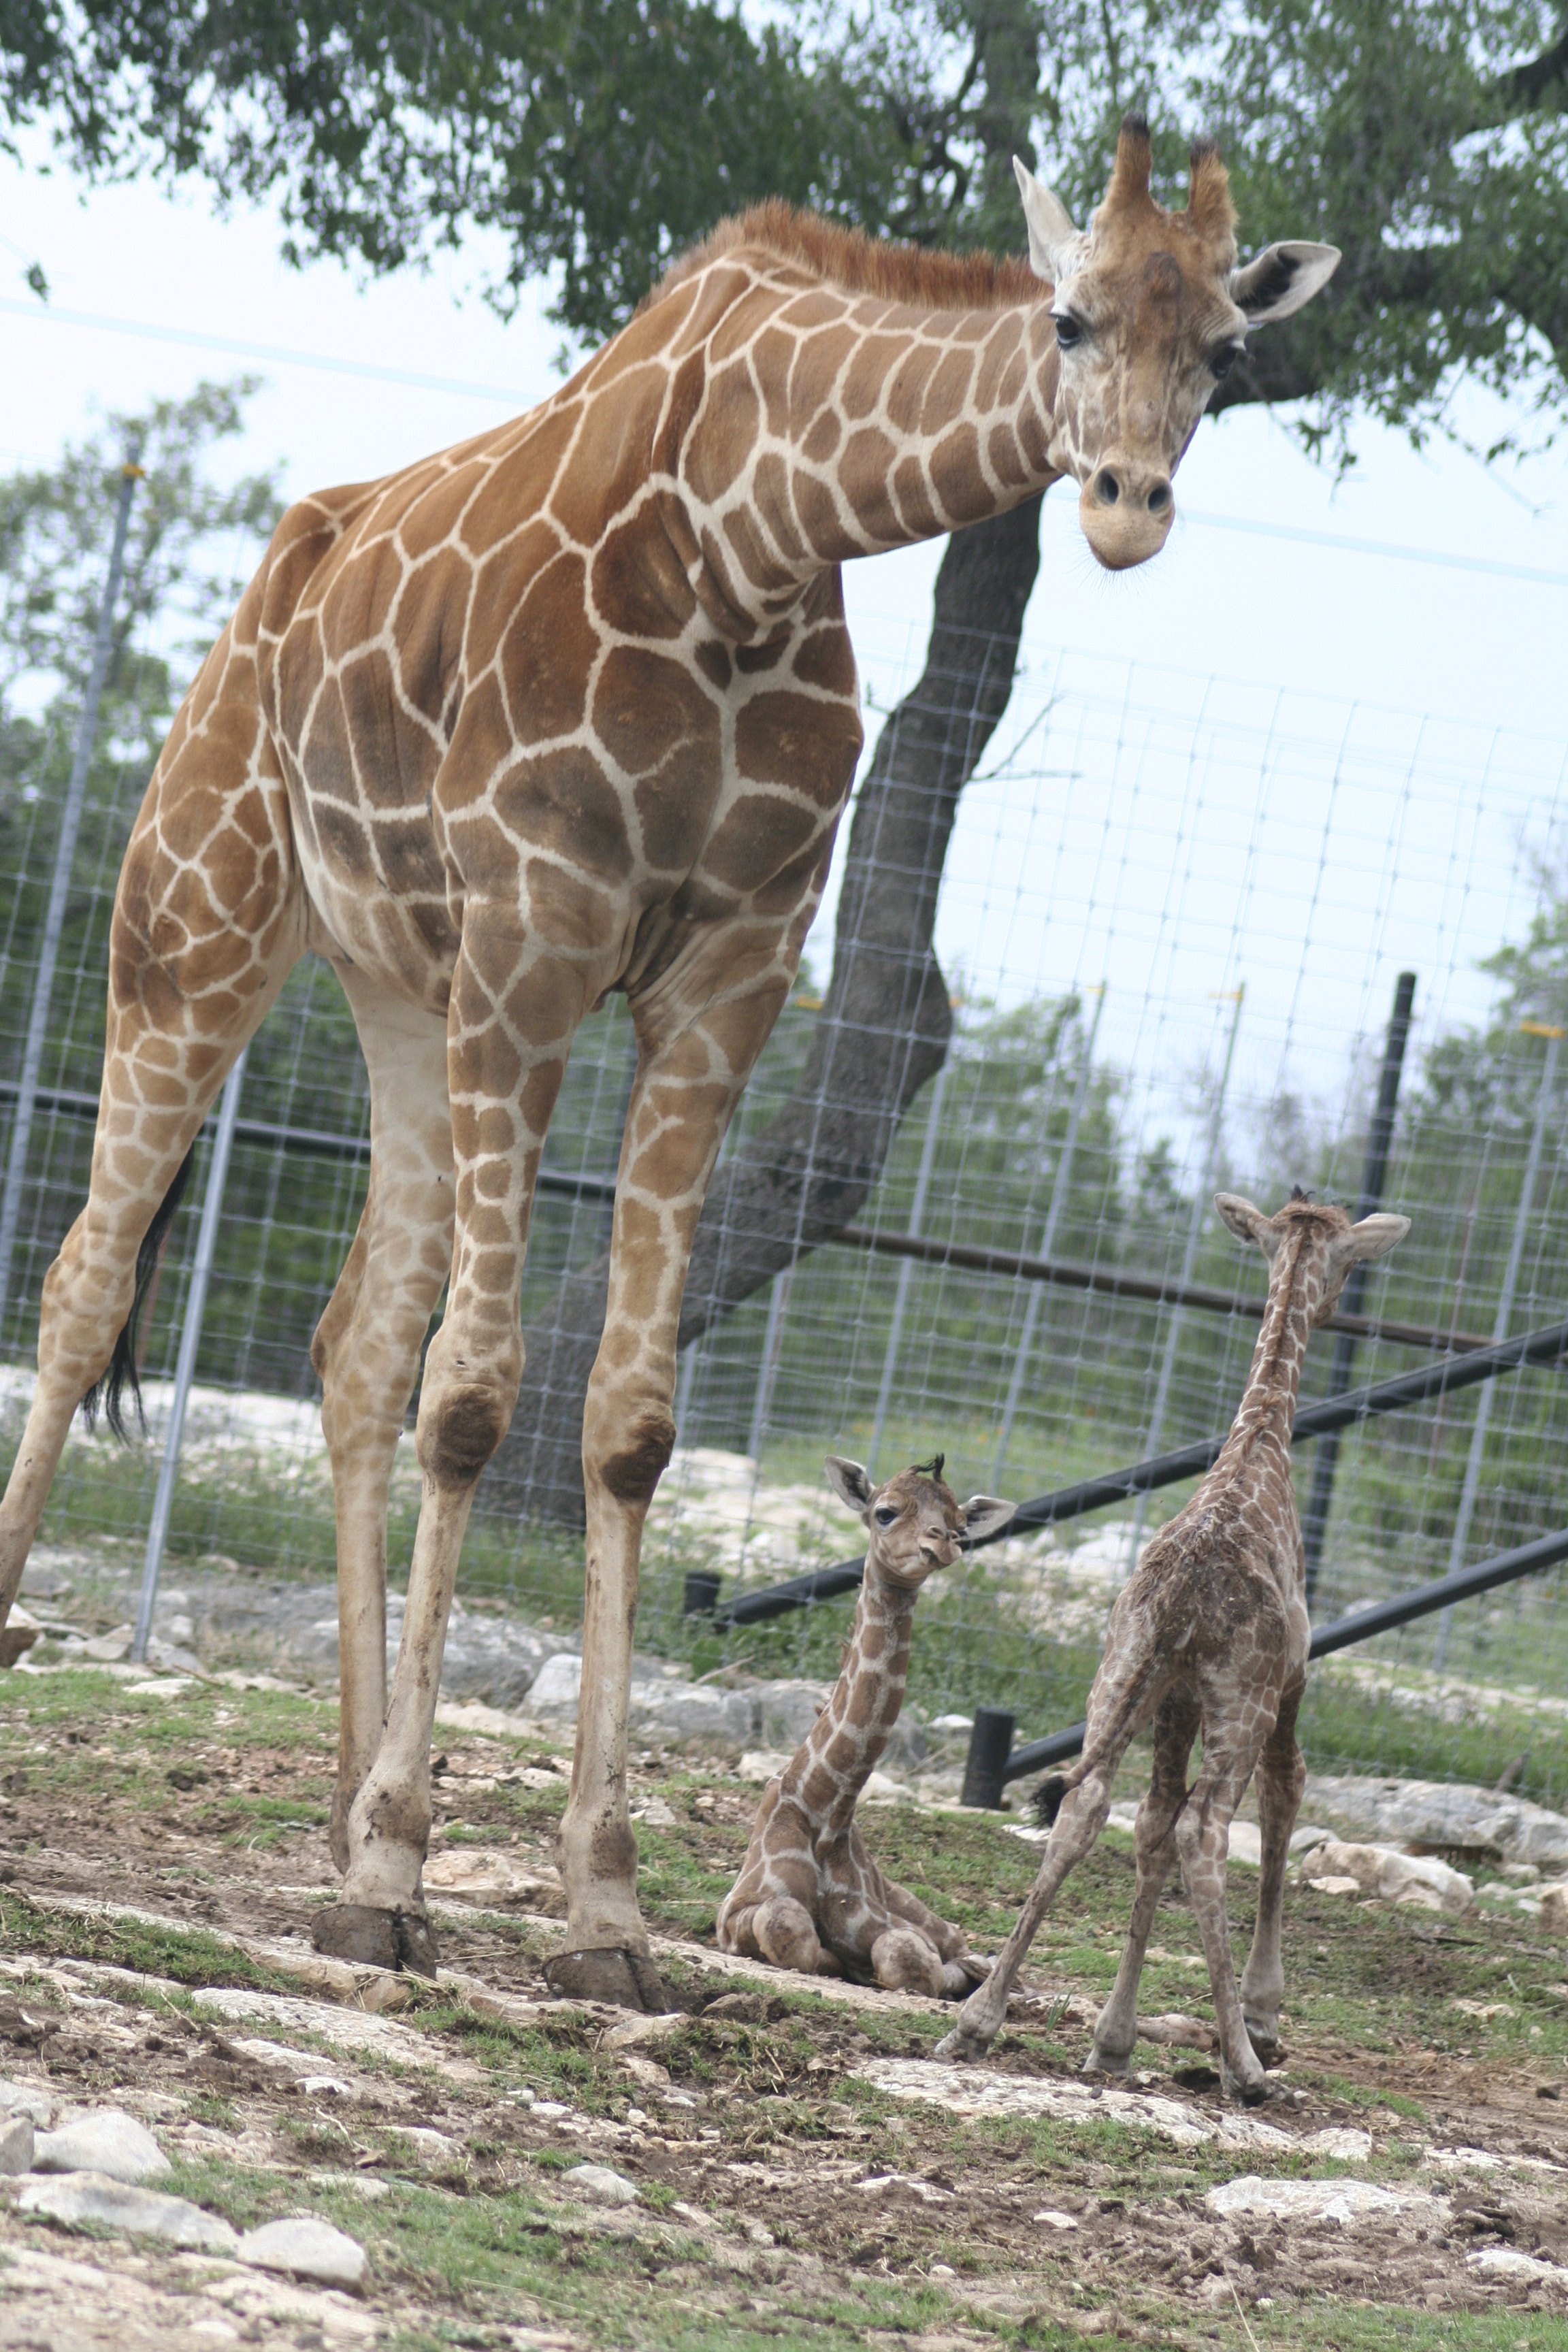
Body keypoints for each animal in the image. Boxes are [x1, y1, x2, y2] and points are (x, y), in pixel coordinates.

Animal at [718, 1455, 1014, 1994]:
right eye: (885, 1513)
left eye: (961, 1525)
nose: (942, 1543)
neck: (824, 1810)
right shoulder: (735, 1910)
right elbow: (787, 1924)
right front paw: (834, 1961)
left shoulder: (884, 1922)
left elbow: (907, 1956)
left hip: (929, 1914)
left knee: (974, 1951)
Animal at [936, 1192, 1409, 2099]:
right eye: (1348, 1262)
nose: (1340, 1307)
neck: (1262, 1444)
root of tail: (1186, 1597)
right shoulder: (1289, 1684)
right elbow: (1285, 1796)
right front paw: (1262, 2015)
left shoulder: (1173, 1697)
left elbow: (1148, 1827)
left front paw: (1112, 2042)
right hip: (1239, 1701)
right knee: (1208, 1832)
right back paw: (1245, 2068)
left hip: (1119, 1673)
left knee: (1087, 1806)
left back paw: (975, 2022)